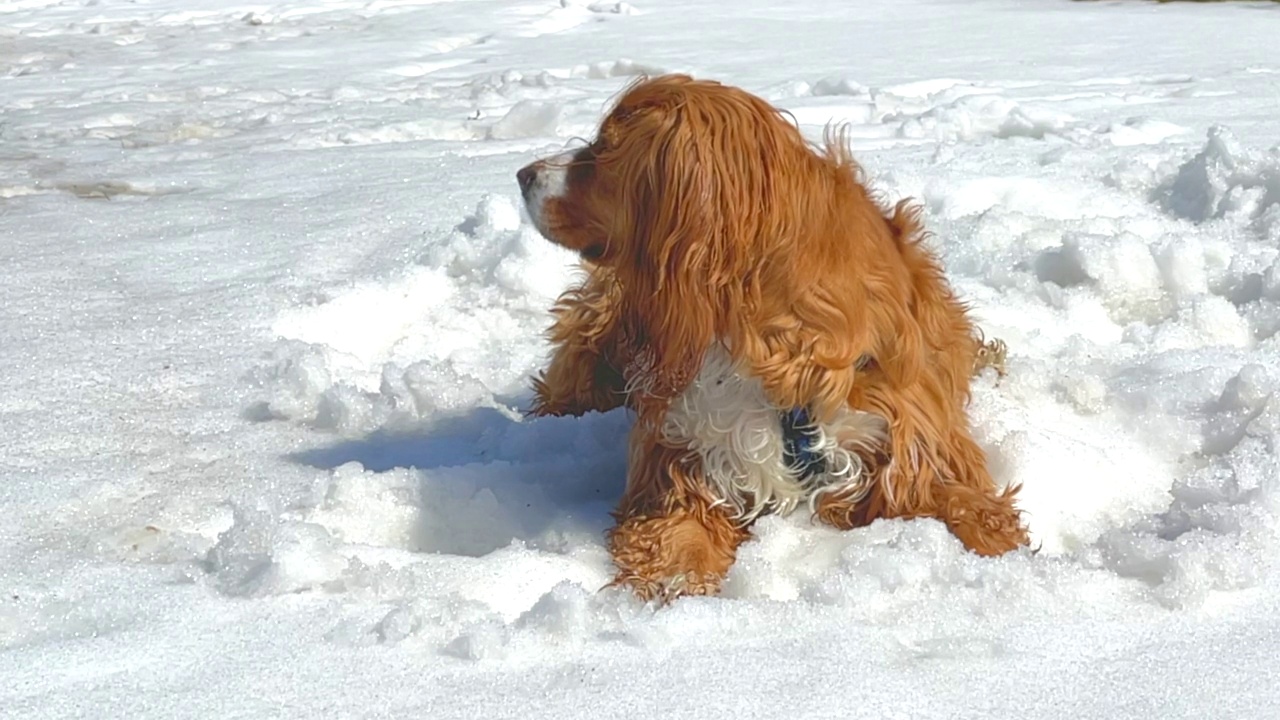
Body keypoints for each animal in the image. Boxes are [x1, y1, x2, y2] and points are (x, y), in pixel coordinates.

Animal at [514, 73, 1024, 599]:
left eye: (604, 148)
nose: (523, 174)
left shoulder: (914, 439)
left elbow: (971, 507)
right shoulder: (680, 457)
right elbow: (677, 533)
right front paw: (677, 582)